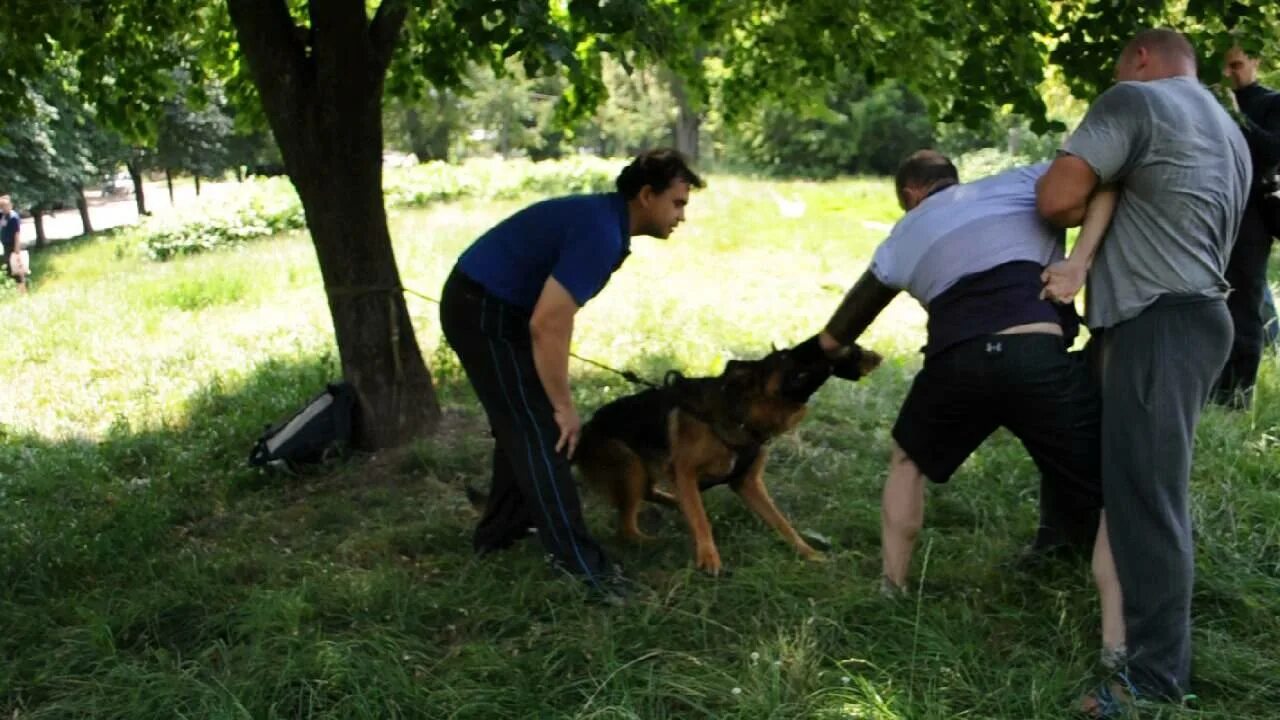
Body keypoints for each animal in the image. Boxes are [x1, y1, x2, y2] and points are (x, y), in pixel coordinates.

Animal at [578, 338, 885, 571]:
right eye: (786, 356)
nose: (856, 351)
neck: (741, 416)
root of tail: (583, 431)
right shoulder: (685, 472)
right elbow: (701, 520)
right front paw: (708, 558)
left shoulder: (747, 483)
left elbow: (782, 523)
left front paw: (807, 552)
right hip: (630, 465)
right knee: (626, 529)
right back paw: (655, 540)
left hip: (645, 470)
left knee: (651, 495)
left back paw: (674, 503)